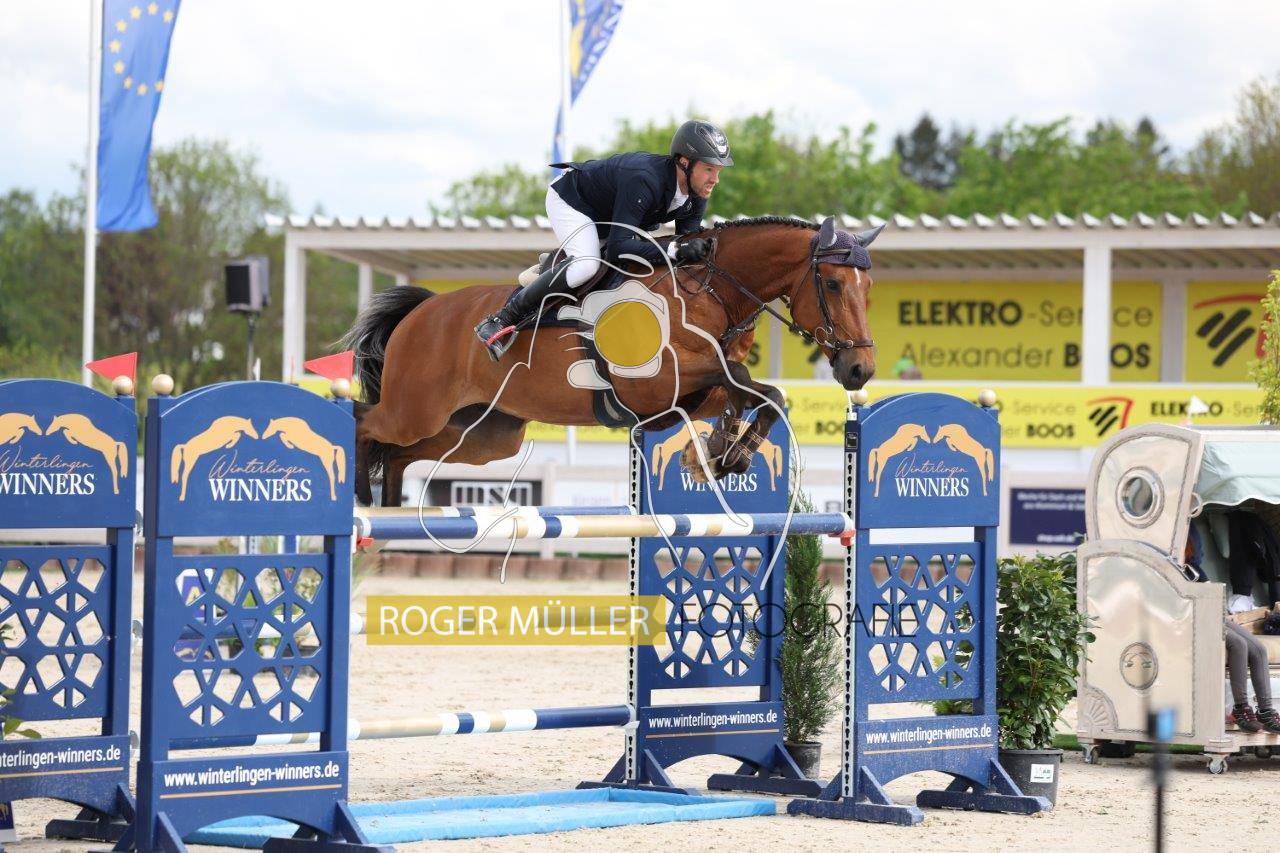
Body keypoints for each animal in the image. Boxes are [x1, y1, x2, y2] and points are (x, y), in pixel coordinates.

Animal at [342, 215, 881, 507]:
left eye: (868, 287)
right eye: (834, 284)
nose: (861, 370)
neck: (708, 292)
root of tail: (422, 311)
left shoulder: (687, 397)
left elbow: (757, 393)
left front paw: (722, 453)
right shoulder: (653, 382)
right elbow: (749, 382)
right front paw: (724, 454)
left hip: (484, 434)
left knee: (401, 454)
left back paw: (387, 513)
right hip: (417, 410)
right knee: (366, 422)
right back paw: (362, 498)